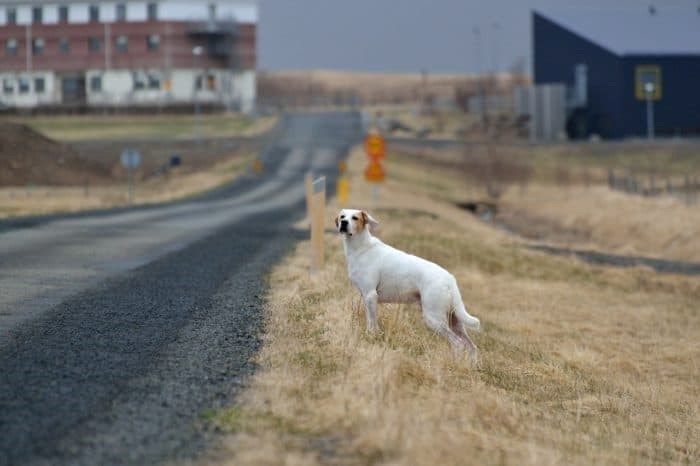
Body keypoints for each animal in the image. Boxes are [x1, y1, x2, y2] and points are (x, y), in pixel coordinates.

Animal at [334, 209, 482, 358]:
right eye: (342, 217)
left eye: (355, 218)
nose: (344, 223)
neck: (361, 247)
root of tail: (449, 279)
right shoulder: (366, 298)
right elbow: (370, 320)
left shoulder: (370, 295)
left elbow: (372, 323)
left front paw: (371, 337)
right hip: (455, 320)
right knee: (472, 347)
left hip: (434, 319)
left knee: (458, 344)